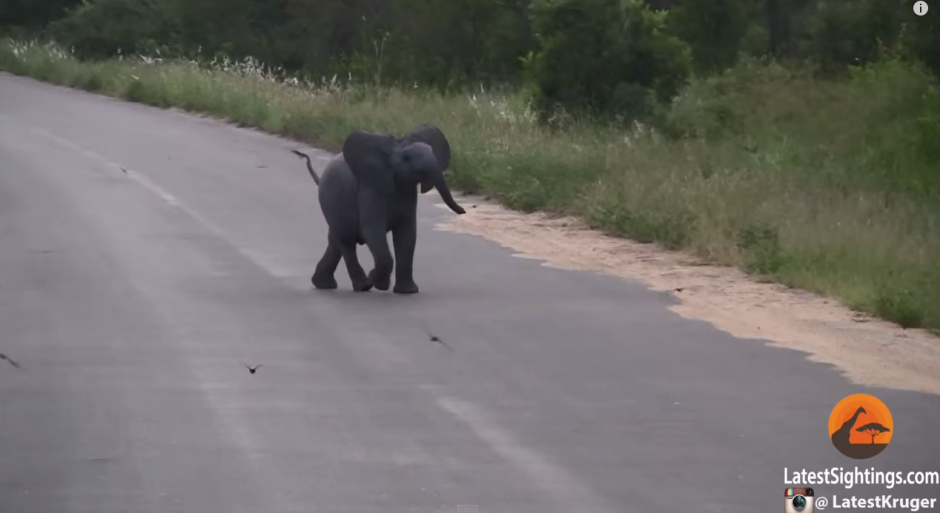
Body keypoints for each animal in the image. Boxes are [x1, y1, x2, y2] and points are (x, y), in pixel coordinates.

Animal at [294, 123, 466, 296]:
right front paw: (379, 284)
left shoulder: (407, 192)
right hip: (332, 198)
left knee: (335, 241)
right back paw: (363, 286)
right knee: (347, 241)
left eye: (432, 152)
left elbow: (407, 235)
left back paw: (324, 284)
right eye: (407, 158)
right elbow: (372, 230)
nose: (464, 211)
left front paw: (408, 291)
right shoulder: (369, 190)